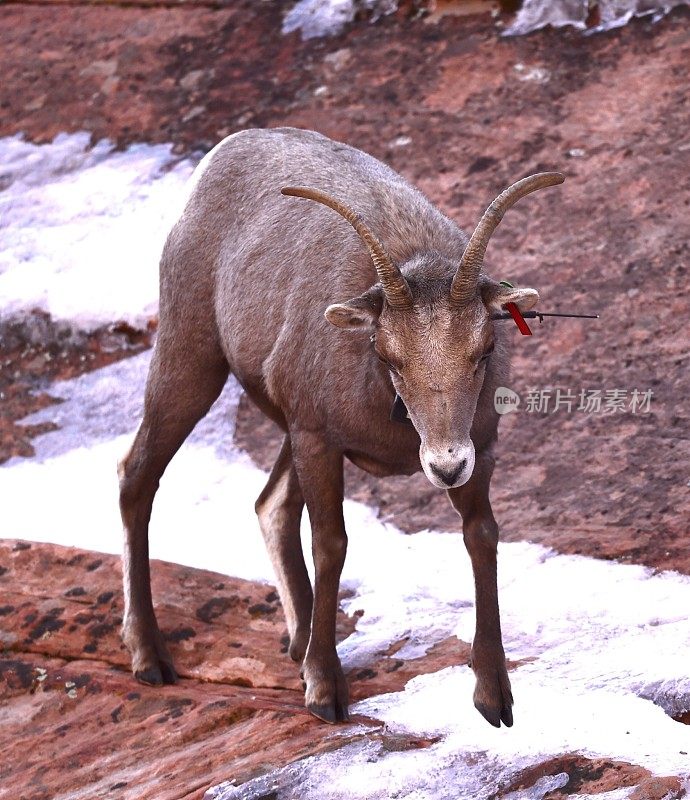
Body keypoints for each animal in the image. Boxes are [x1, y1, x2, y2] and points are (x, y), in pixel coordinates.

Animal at [117, 123, 560, 724]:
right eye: (388, 355)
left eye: (484, 349)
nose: (444, 466)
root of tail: (223, 153)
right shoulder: (319, 442)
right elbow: (331, 545)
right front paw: (325, 692)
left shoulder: (481, 447)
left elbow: (482, 536)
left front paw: (494, 697)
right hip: (193, 364)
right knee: (138, 478)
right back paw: (149, 657)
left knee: (270, 506)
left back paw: (298, 644)